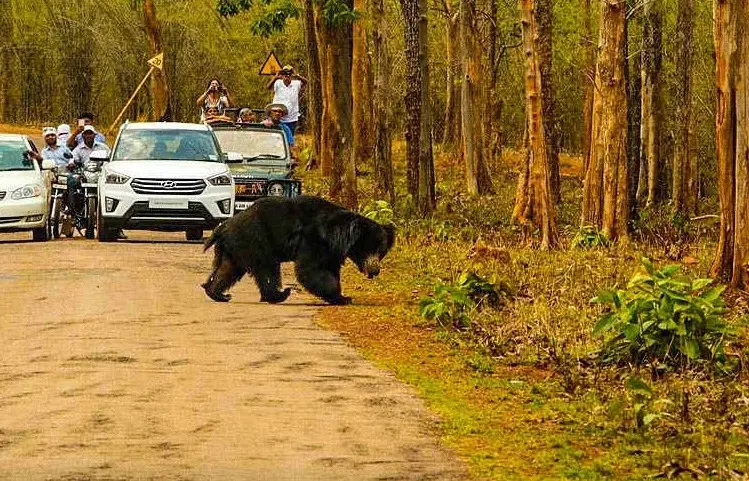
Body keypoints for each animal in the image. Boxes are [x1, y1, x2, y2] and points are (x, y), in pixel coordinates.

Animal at [201, 195, 395, 305]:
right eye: (369, 248)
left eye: (381, 251)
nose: (375, 270)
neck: (336, 236)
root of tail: (223, 227)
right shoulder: (313, 239)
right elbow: (311, 270)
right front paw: (342, 298)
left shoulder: (331, 251)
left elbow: (330, 269)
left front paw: (342, 296)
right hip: (256, 240)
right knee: (267, 269)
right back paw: (280, 294)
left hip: (235, 247)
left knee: (227, 269)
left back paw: (217, 293)